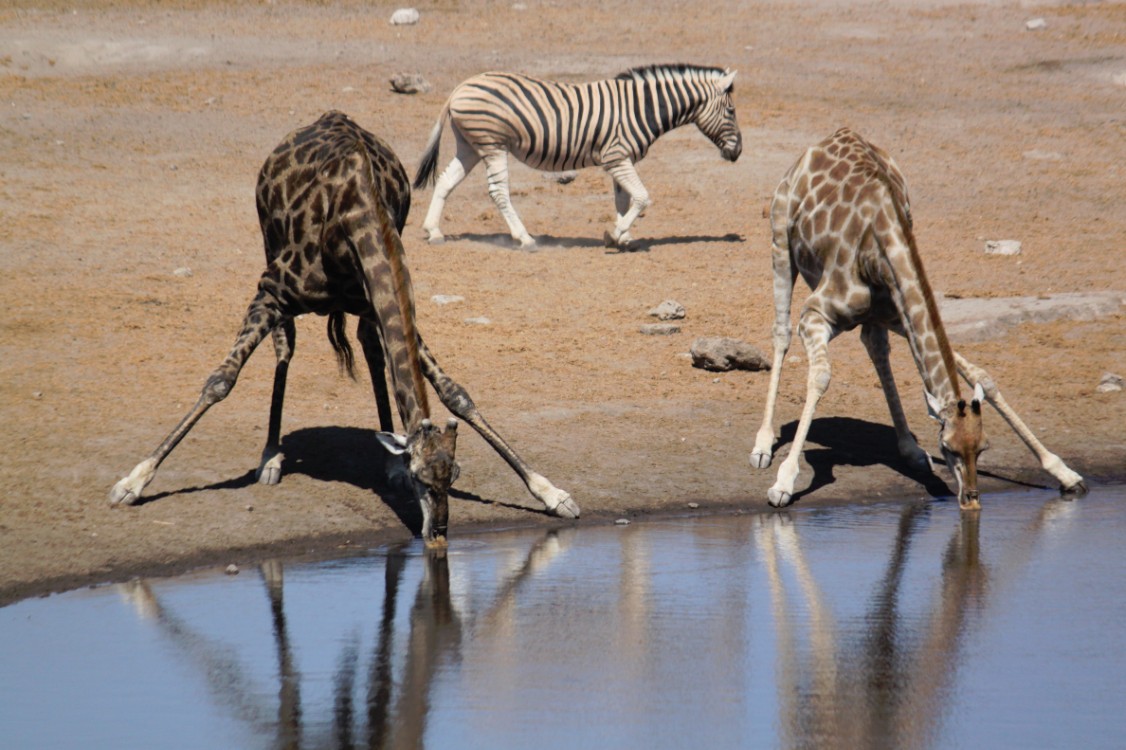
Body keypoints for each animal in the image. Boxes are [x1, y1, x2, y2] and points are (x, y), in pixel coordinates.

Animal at [112, 110, 581, 542]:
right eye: (420, 478)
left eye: (455, 475)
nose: (438, 533)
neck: (353, 218)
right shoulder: (270, 291)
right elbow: (220, 382)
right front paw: (133, 481)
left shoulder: (378, 301)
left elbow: (455, 393)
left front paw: (552, 493)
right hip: (268, 245)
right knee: (285, 347)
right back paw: (271, 455)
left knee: (370, 349)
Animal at [412, 63, 738, 250]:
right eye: (732, 111)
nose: (738, 153)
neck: (642, 107)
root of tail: (459, 87)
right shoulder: (616, 157)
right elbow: (643, 197)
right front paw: (618, 233)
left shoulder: (620, 160)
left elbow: (623, 199)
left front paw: (623, 236)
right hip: (492, 144)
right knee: (498, 191)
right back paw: (524, 238)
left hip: (470, 145)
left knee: (445, 181)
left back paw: (433, 231)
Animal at [752, 130, 1085, 509]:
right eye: (949, 448)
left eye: (982, 448)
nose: (971, 501)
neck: (879, 247)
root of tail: (827, 139)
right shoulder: (815, 315)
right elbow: (821, 377)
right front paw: (783, 483)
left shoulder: (898, 314)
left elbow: (982, 375)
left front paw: (1064, 472)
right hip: (780, 241)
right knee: (781, 333)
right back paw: (762, 445)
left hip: (879, 316)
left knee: (875, 347)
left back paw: (911, 450)